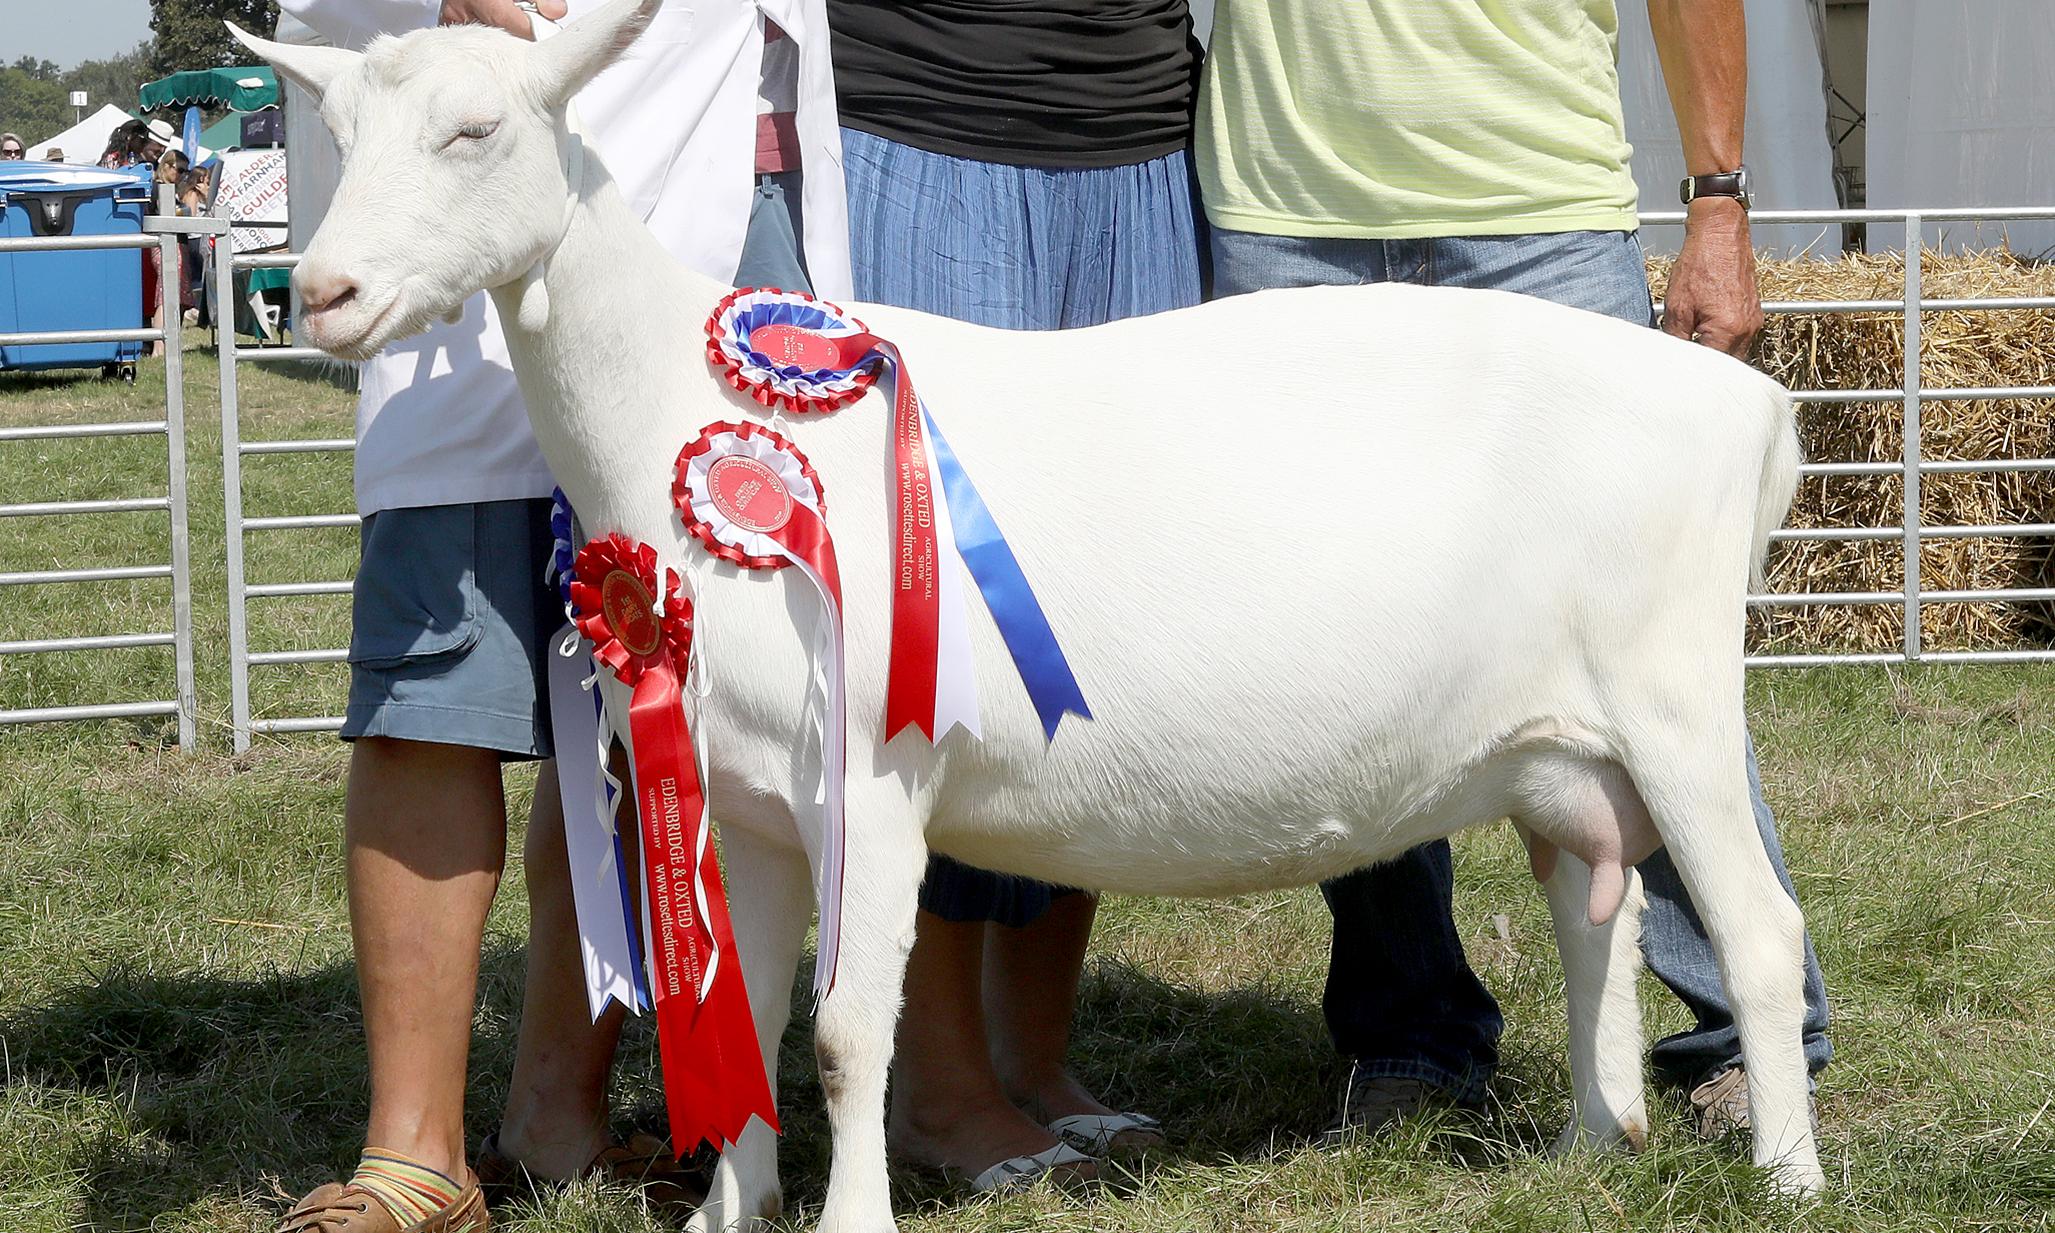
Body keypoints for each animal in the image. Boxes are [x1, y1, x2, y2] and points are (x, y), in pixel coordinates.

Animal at [235, 2, 1824, 1228]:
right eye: (345, 137)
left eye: (475, 133)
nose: (324, 292)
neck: (684, 403)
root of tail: (1751, 409)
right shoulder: (745, 796)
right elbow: (745, 1022)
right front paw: (724, 1211)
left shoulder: (869, 776)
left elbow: (839, 1033)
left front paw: (851, 1218)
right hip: (1562, 744)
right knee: (1590, 904)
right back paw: (1585, 1148)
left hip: (1677, 698)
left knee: (1752, 925)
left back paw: (1785, 1173)